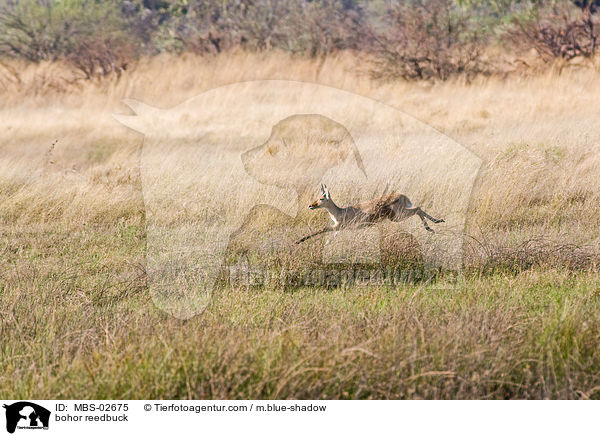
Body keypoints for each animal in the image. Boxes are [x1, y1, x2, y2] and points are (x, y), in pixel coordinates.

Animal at [296, 184, 446, 245]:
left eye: (322, 198)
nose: (311, 205)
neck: (340, 211)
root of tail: (402, 195)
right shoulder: (338, 229)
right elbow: (330, 238)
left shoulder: (338, 226)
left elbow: (322, 229)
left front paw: (298, 240)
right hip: (399, 215)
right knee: (418, 209)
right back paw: (437, 223)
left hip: (397, 217)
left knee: (418, 209)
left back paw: (432, 227)